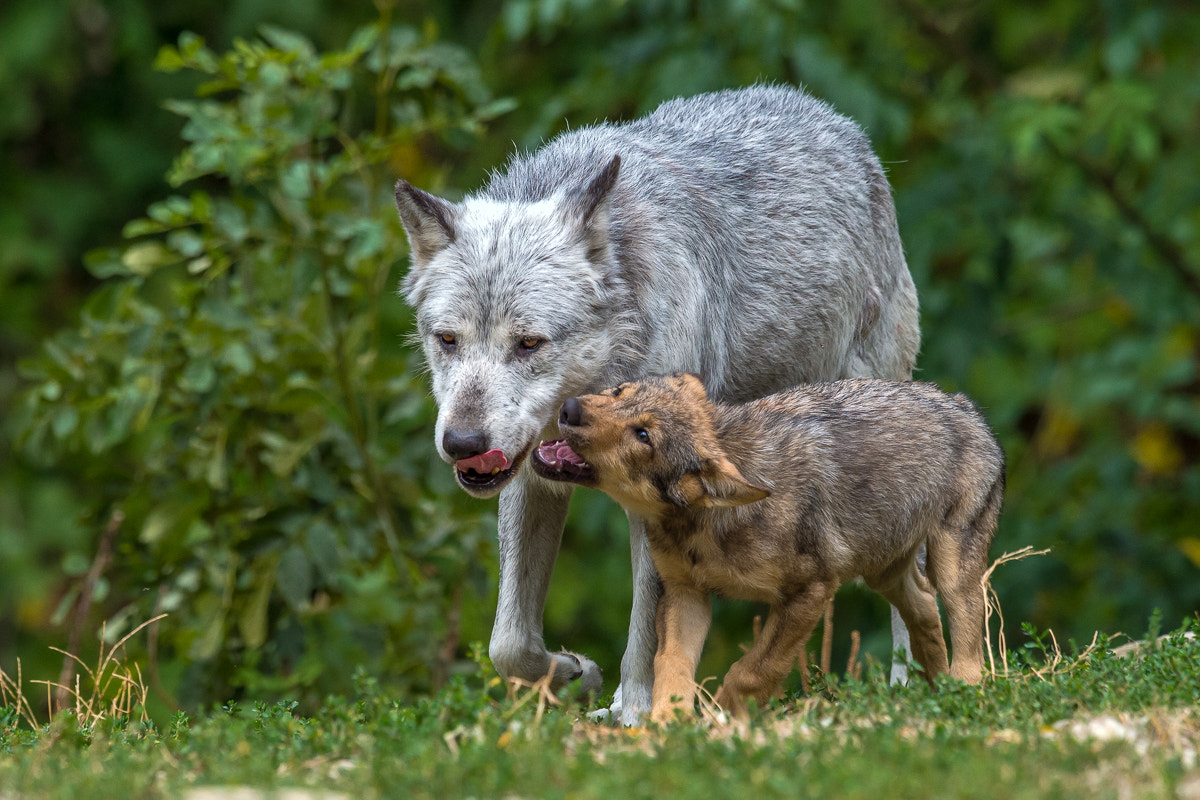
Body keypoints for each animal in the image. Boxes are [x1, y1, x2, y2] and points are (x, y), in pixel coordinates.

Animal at [393, 86, 916, 724]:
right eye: (447, 339)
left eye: (529, 344)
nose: (462, 444)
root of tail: (832, 118)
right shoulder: (530, 479)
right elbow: (508, 643)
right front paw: (574, 676)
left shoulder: (662, 507)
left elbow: (647, 633)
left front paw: (637, 714)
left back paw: (911, 684)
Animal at [535, 374, 1003, 719]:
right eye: (618, 393)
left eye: (644, 435)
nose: (569, 408)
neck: (702, 526)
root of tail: (964, 405)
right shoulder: (686, 594)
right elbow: (671, 666)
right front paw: (666, 729)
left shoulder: (811, 591)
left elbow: (753, 670)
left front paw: (724, 718)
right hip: (883, 571)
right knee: (923, 607)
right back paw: (936, 689)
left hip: (950, 568)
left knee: (966, 633)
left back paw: (962, 694)